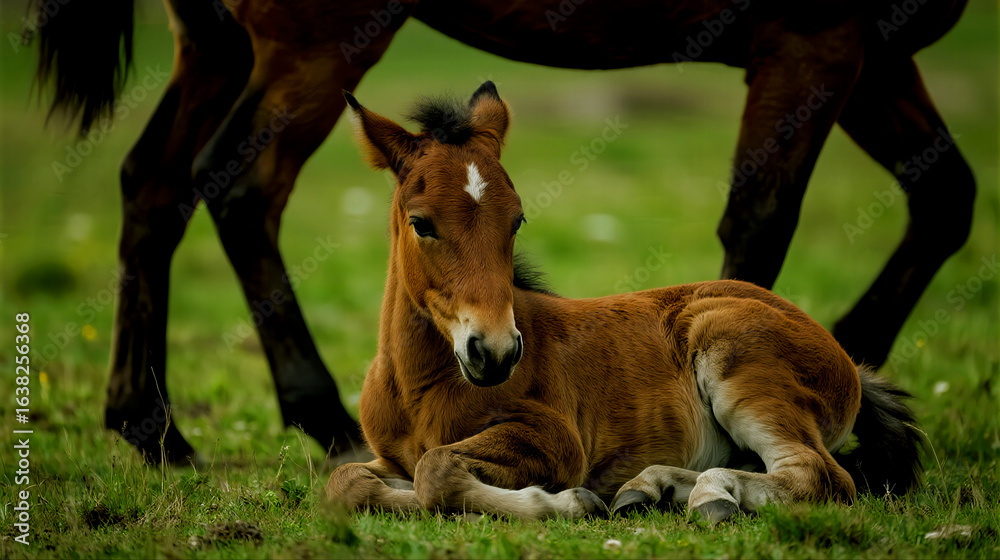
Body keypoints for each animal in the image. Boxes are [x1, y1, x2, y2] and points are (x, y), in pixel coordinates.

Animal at [27, 0, 972, 464]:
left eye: (520, 219)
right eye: (420, 223)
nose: (494, 352)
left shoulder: (876, 48)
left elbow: (949, 197)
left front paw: (862, 384)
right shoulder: (814, 37)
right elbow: (763, 220)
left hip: (217, 42)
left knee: (154, 183)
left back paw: (150, 426)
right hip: (309, 41)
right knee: (238, 187)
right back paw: (317, 415)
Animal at [324, 84, 924, 522]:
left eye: (516, 220)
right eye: (421, 223)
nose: (495, 352)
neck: (419, 388)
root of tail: (844, 358)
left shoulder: (556, 440)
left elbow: (436, 469)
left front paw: (565, 501)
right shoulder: (387, 454)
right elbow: (344, 481)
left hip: (740, 365)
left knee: (818, 475)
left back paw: (709, 497)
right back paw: (648, 488)